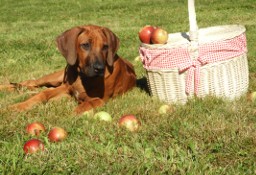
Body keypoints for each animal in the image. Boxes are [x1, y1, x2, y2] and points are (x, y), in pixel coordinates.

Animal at [1, 25, 137, 114]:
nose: (100, 69)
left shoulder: (98, 100)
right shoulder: (65, 87)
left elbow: (83, 106)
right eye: (85, 45)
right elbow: (43, 93)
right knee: (31, 83)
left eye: (105, 47)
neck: (81, 76)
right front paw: (17, 106)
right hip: (55, 78)